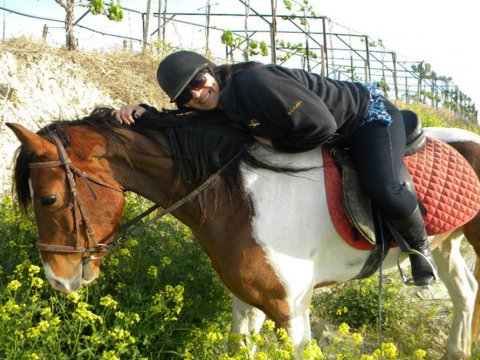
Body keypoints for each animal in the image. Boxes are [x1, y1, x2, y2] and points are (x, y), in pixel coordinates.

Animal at [6, 108, 480, 358]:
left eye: (47, 198)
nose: (58, 280)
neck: (240, 192)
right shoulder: (246, 299)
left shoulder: (291, 311)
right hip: (445, 245)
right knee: (465, 292)